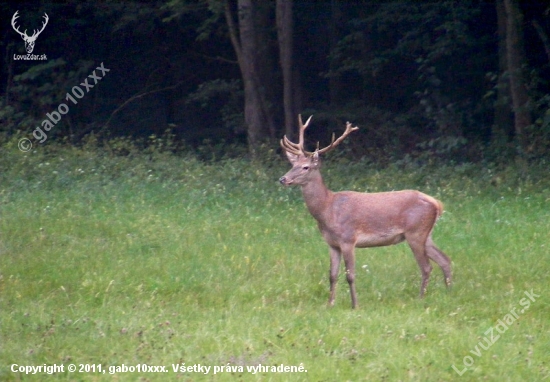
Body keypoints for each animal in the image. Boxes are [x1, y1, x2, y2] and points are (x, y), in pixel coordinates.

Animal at [280, 115, 452, 308]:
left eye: (306, 167)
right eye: (292, 164)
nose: (283, 179)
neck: (327, 210)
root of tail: (436, 203)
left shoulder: (348, 239)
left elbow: (350, 275)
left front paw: (355, 305)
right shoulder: (332, 243)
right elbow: (332, 275)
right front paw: (330, 304)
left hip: (416, 232)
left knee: (427, 267)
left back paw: (421, 298)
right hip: (426, 234)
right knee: (445, 260)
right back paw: (449, 293)